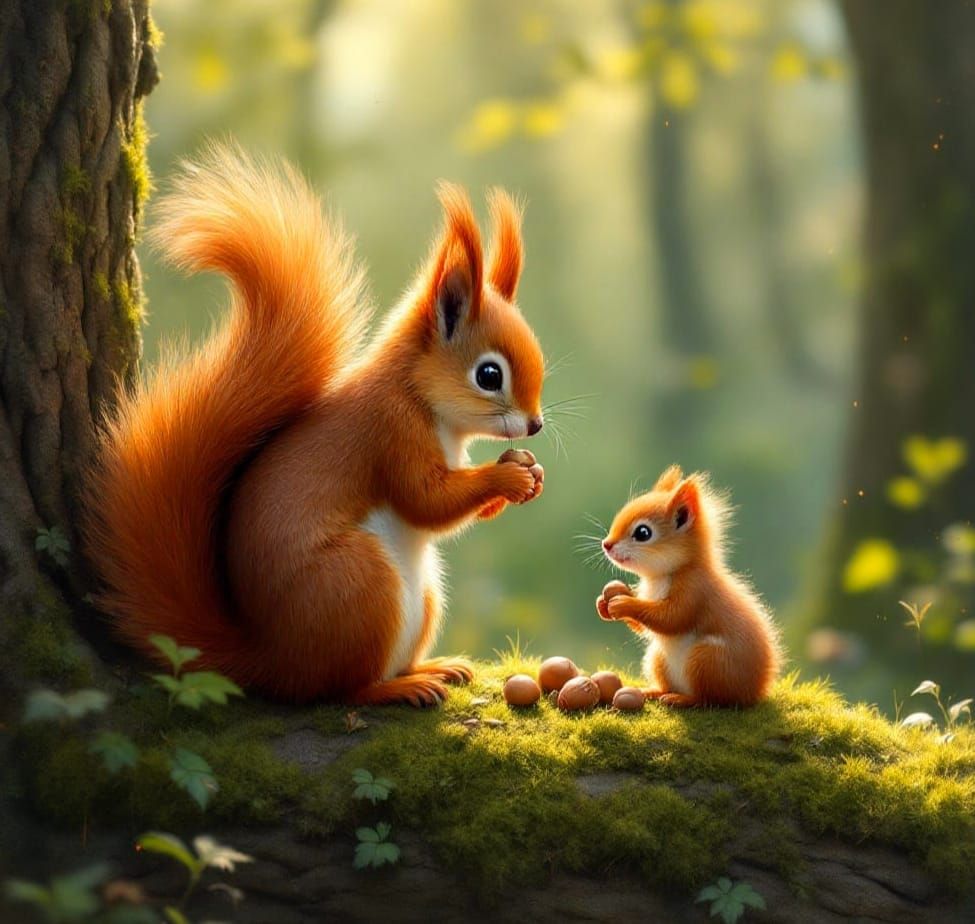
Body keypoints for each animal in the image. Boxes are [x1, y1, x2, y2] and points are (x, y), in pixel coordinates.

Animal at [83, 144, 547, 706]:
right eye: (488, 375)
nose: (535, 426)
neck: (417, 395)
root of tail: (273, 660)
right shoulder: (390, 431)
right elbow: (426, 501)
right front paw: (508, 476)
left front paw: (528, 473)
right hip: (358, 582)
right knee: (345, 688)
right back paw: (402, 688)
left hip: (423, 593)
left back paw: (436, 666)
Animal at [595, 466, 781, 707]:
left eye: (643, 533)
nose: (606, 544)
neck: (661, 576)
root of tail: (751, 693)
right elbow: (646, 627)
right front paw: (605, 601)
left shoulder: (694, 590)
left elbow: (672, 618)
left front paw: (624, 603)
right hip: (658, 658)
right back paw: (653, 691)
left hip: (708, 660)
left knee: (707, 699)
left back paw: (680, 699)